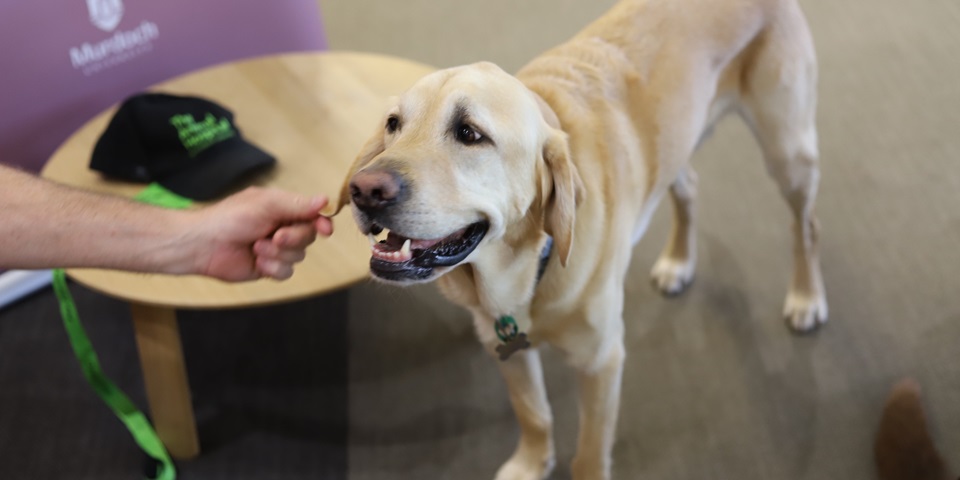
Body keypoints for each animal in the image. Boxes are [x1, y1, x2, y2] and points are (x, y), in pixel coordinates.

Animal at [332, 0, 824, 478]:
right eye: (393, 124)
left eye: (469, 133)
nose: (365, 189)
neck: (528, 271)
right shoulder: (503, 346)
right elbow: (533, 414)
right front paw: (531, 463)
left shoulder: (602, 360)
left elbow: (590, 450)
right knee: (689, 188)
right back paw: (679, 262)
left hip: (788, 152)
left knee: (805, 228)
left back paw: (806, 297)